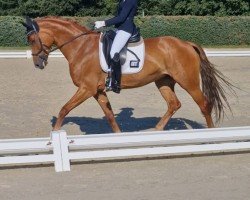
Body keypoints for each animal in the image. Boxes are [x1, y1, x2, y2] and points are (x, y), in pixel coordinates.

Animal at [22, 16, 233, 132]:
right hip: (163, 81)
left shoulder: (86, 88)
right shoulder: (97, 90)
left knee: (204, 104)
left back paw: (211, 135)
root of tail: (186, 43)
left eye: (32, 39)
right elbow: (109, 116)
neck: (81, 47)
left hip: (188, 81)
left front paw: (55, 134)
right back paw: (156, 130)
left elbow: (64, 109)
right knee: (174, 103)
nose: (38, 63)